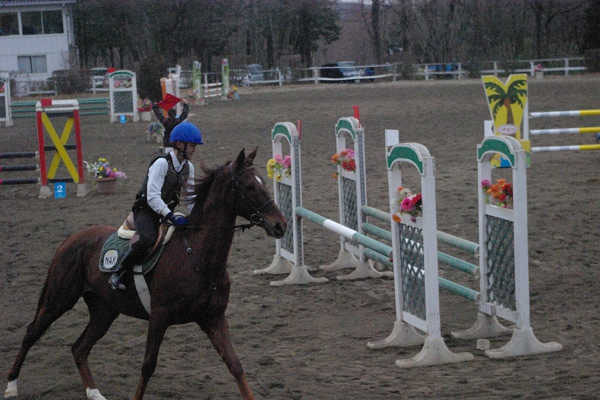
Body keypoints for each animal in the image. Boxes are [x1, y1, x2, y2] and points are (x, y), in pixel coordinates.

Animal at [4, 148, 286, 400]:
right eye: (249, 187)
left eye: (263, 182)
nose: (280, 225)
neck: (196, 255)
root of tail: (70, 240)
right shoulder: (159, 317)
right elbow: (148, 366)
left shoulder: (213, 318)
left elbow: (235, 364)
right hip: (58, 300)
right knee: (32, 333)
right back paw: (11, 386)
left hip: (104, 311)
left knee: (79, 348)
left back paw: (94, 393)